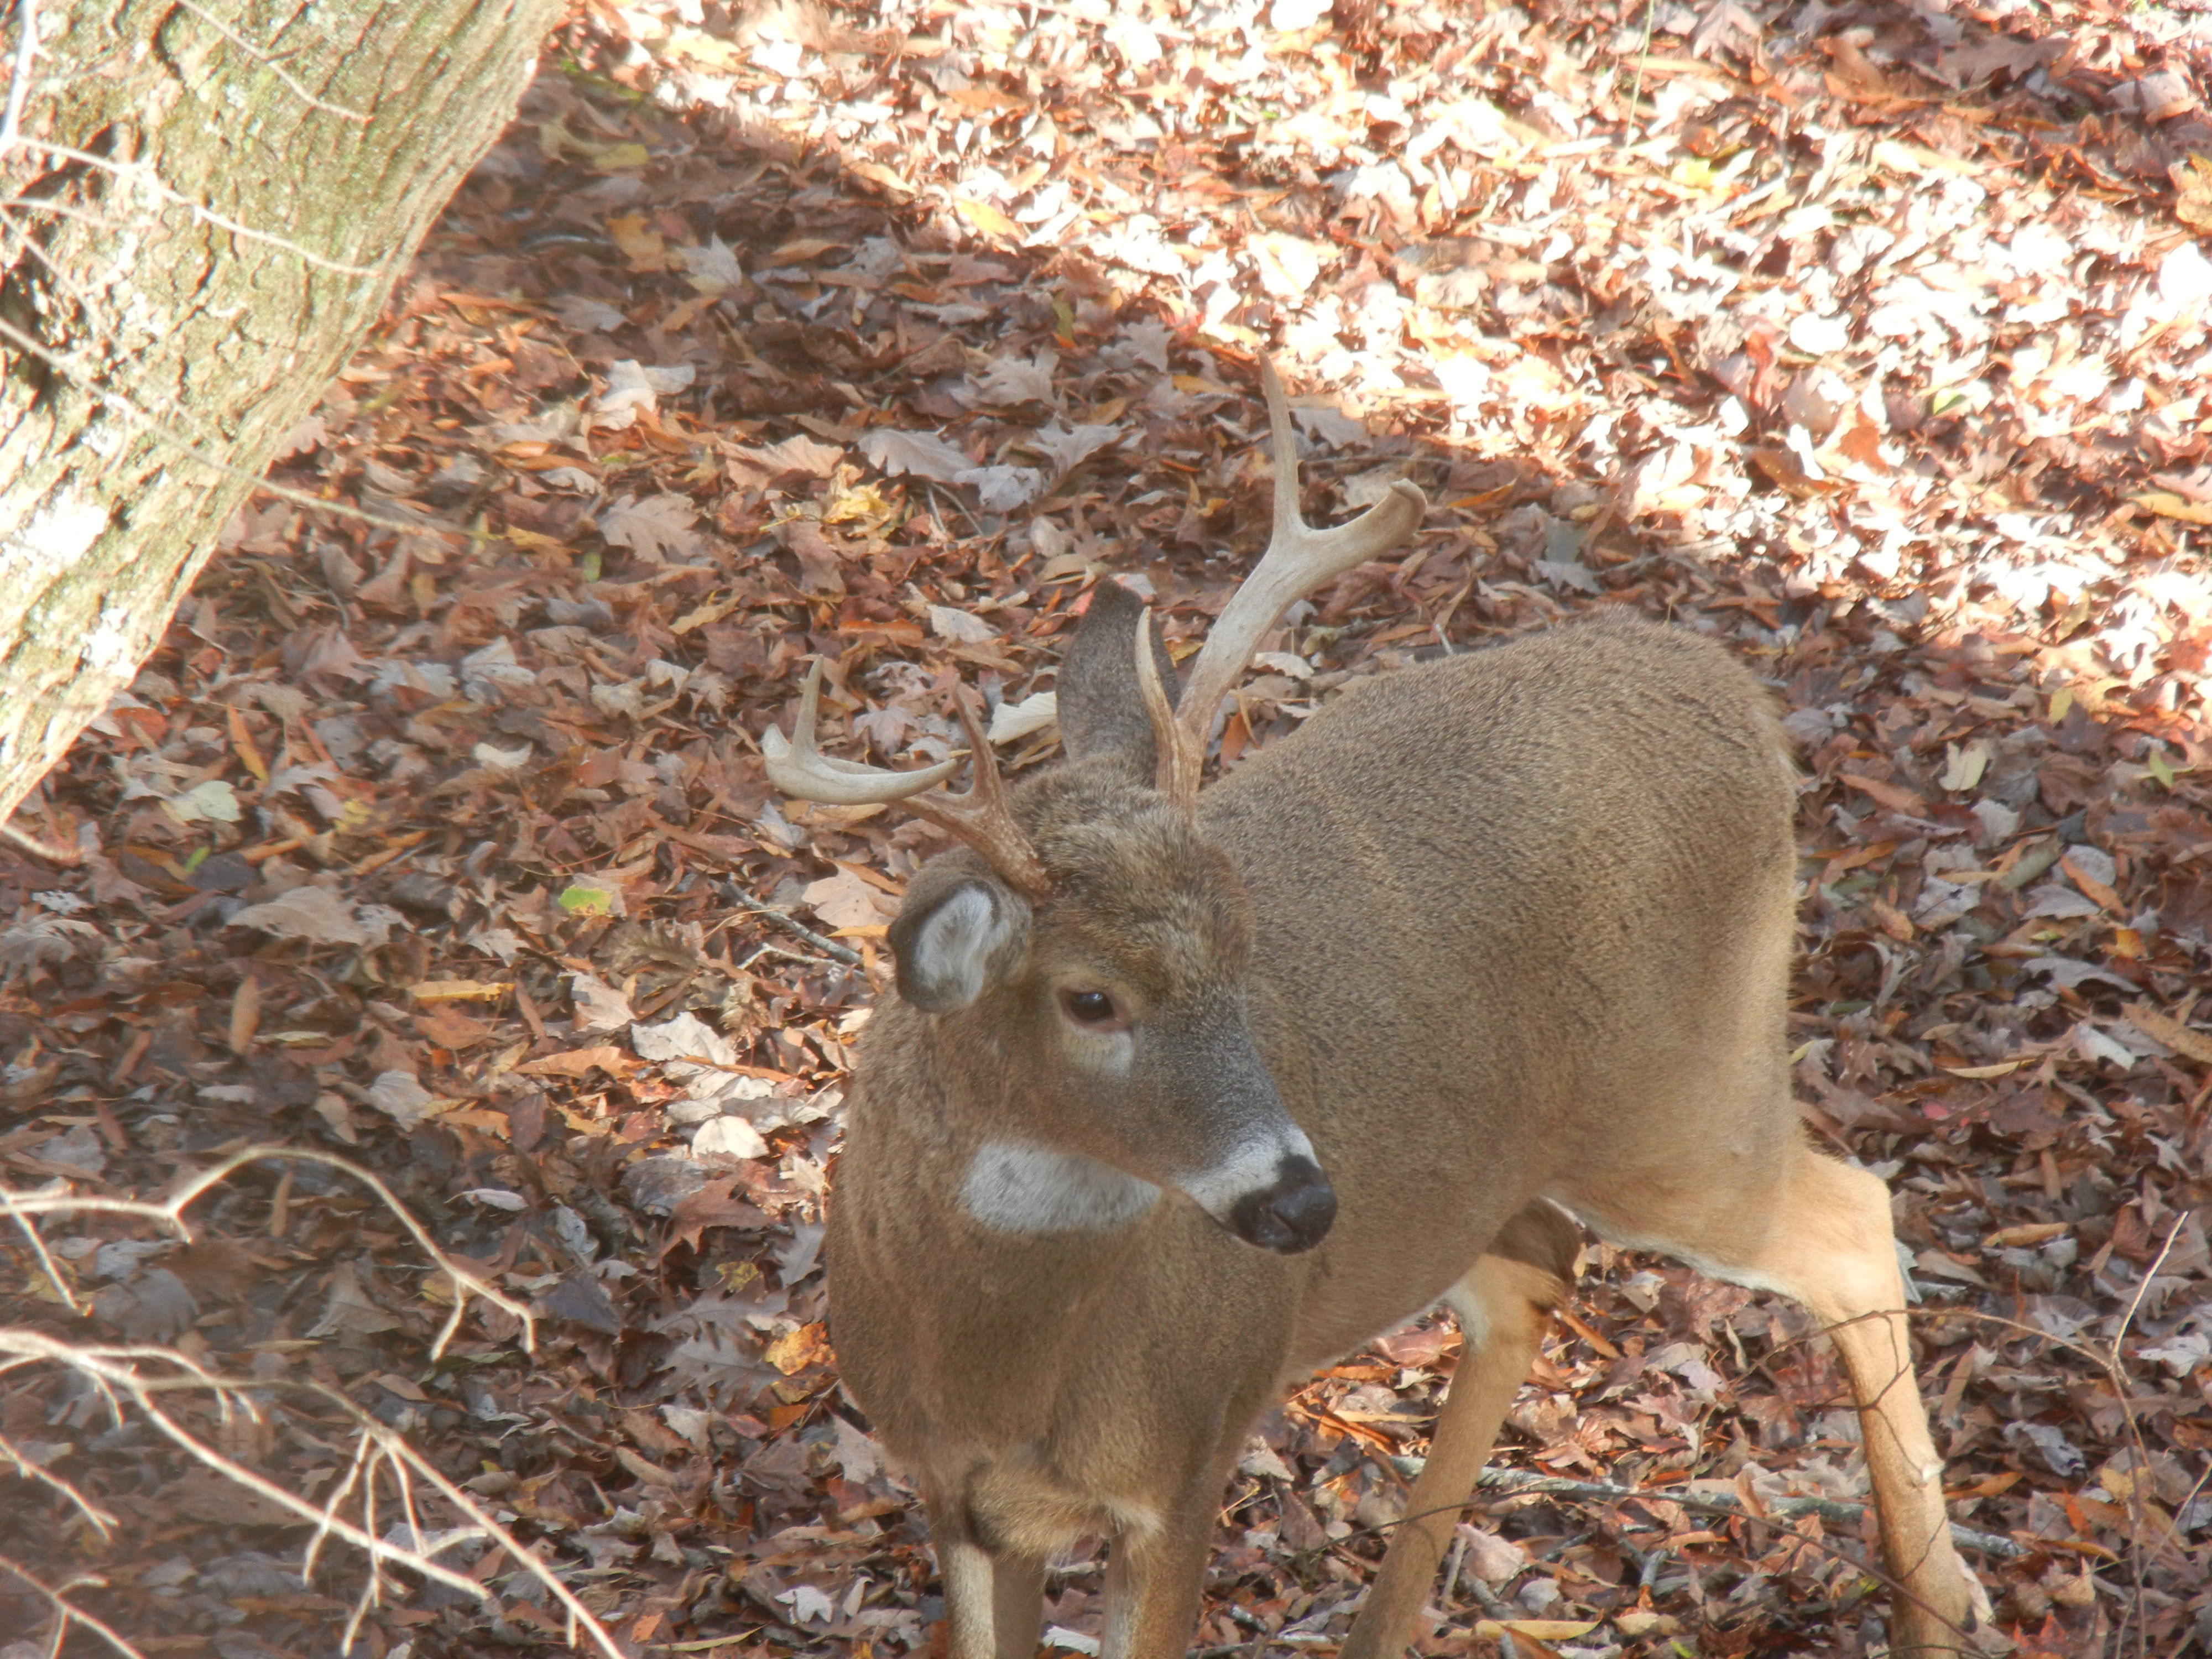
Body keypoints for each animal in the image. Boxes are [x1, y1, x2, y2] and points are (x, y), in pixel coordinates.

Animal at [765, 363, 1991, 1659]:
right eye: (1090, 998)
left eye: (1244, 945)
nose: (1302, 1202)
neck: (1001, 1364)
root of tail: (1744, 700)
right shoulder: (952, 1490)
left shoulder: (1184, 1459)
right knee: (1539, 1264)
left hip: (1685, 1103)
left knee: (1853, 1220)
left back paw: (1940, 1608)